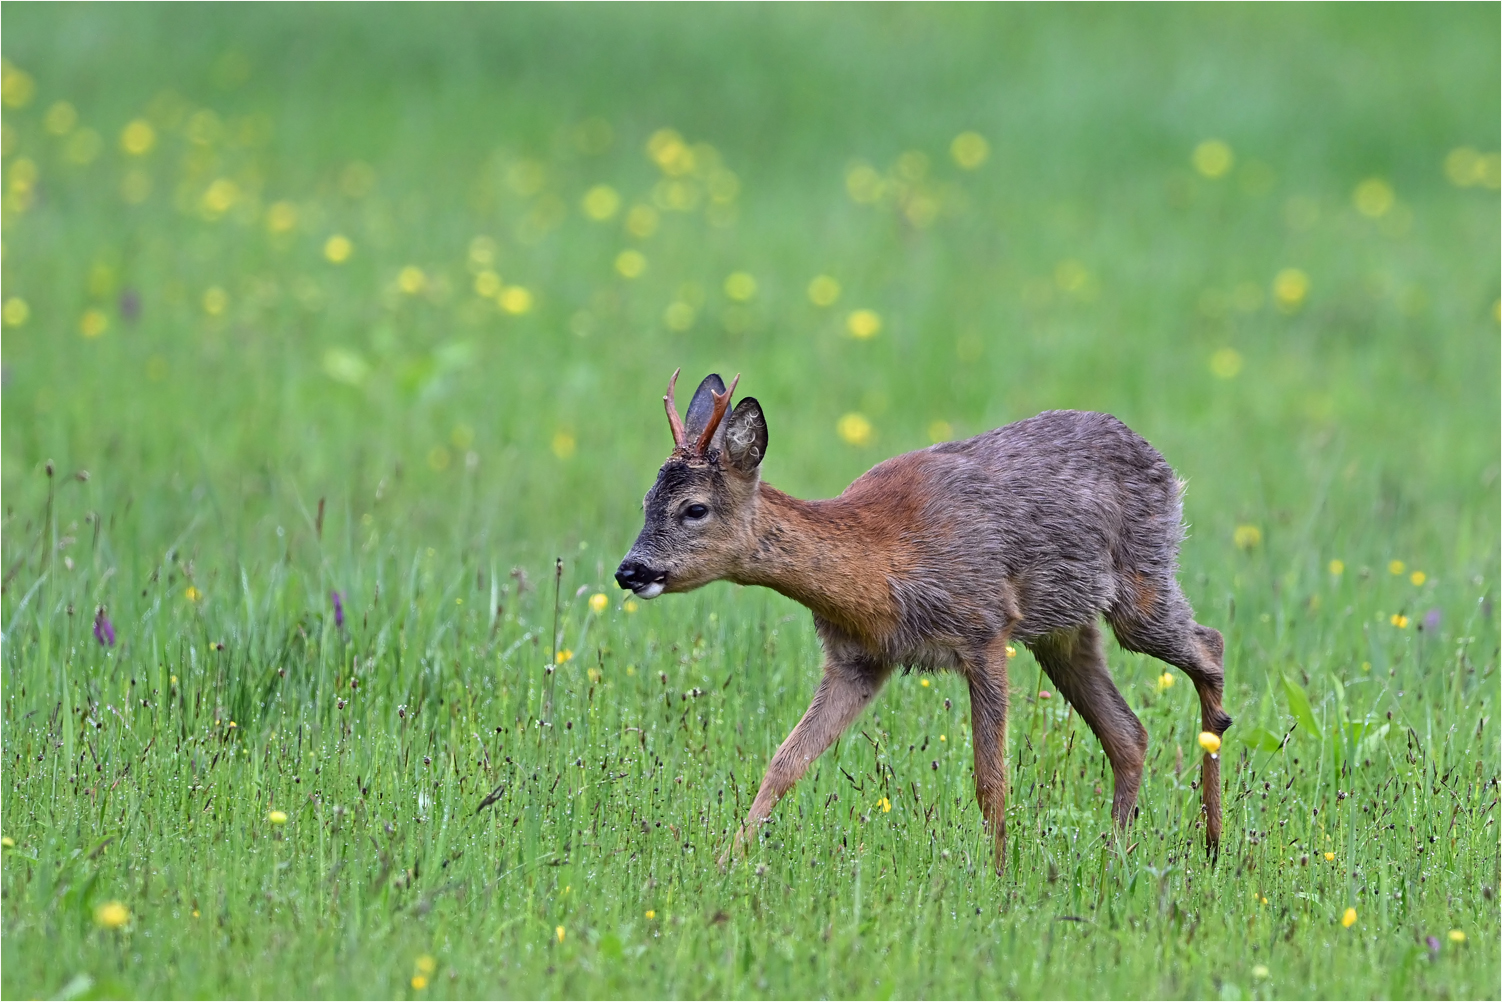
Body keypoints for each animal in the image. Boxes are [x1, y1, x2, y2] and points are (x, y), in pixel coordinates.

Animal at [612, 371, 1231, 871]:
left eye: (694, 508)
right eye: (644, 502)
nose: (629, 570)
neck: (880, 563)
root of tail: (1162, 465)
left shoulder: (985, 627)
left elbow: (989, 779)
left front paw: (997, 877)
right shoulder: (858, 661)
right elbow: (785, 761)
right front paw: (725, 863)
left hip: (1140, 585)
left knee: (1212, 644)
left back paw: (1211, 839)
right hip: (1062, 632)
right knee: (1129, 734)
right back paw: (1121, 854)